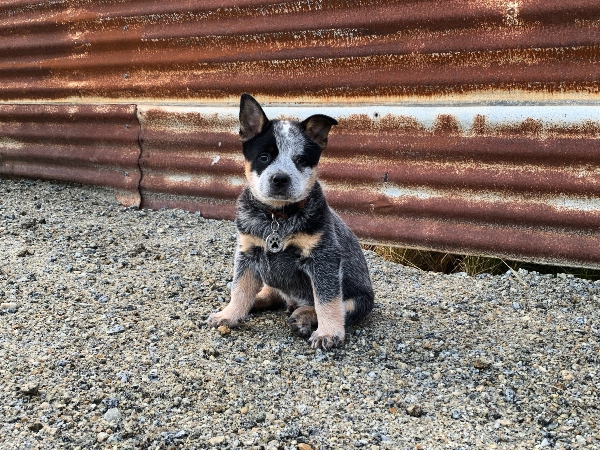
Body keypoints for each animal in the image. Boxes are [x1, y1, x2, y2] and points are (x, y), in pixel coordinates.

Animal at [209, 94, 372, 348]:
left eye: (301, 160)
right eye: (264, 157)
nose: (280, 179)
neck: (276, 217)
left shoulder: (324, 258)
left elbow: (327, 301)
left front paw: (328, 333)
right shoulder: (247, 252)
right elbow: (240, 288)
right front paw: (229, 314)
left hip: (359, 301)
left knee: (328, 306)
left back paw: (303, 317)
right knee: (272, 292)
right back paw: (260, 300)